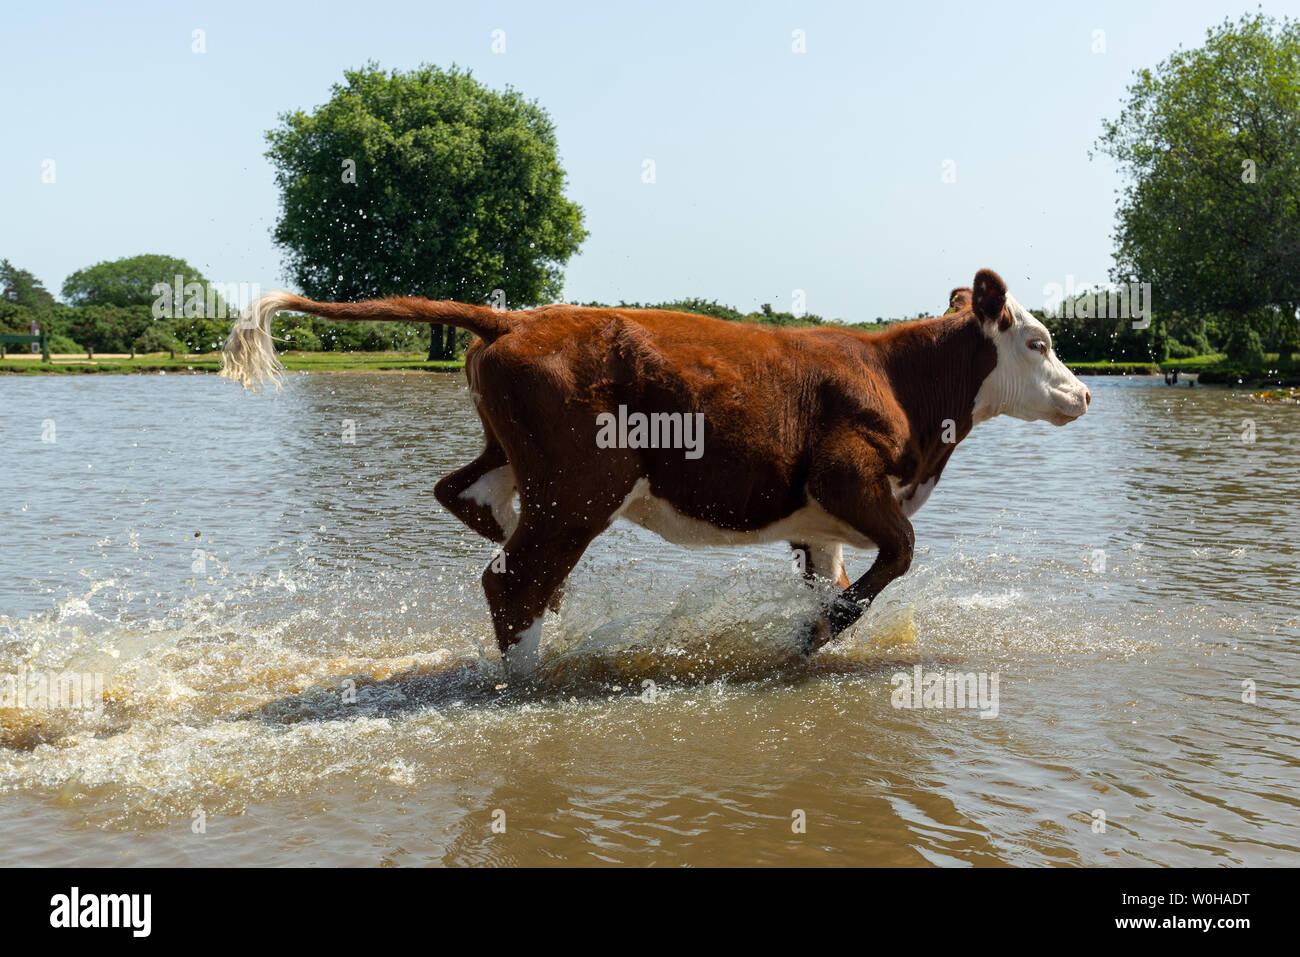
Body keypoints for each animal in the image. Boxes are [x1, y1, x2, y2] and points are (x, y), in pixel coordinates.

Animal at [220, 269, 1086, 670]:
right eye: (1038, 340)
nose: (1080, 392)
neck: (899, 379)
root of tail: (515, 318)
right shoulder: (848, 478)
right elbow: (899, 553)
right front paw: (817, 631)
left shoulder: (820, 522)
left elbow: (832, 577)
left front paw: (807, 633)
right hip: (581, 484)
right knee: (513, 581)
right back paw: (528, 673)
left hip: (520, 463)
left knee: (469, 503)